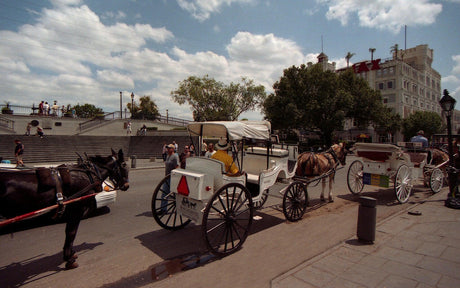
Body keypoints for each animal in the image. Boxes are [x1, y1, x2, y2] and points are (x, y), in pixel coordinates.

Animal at [0, 150, 129, 268]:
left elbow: (69, 232)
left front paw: (70, 253)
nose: (126, 186)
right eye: (124, 165)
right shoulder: (76, 209)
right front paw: (69, 258)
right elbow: (71, 233)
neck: (88, 174)